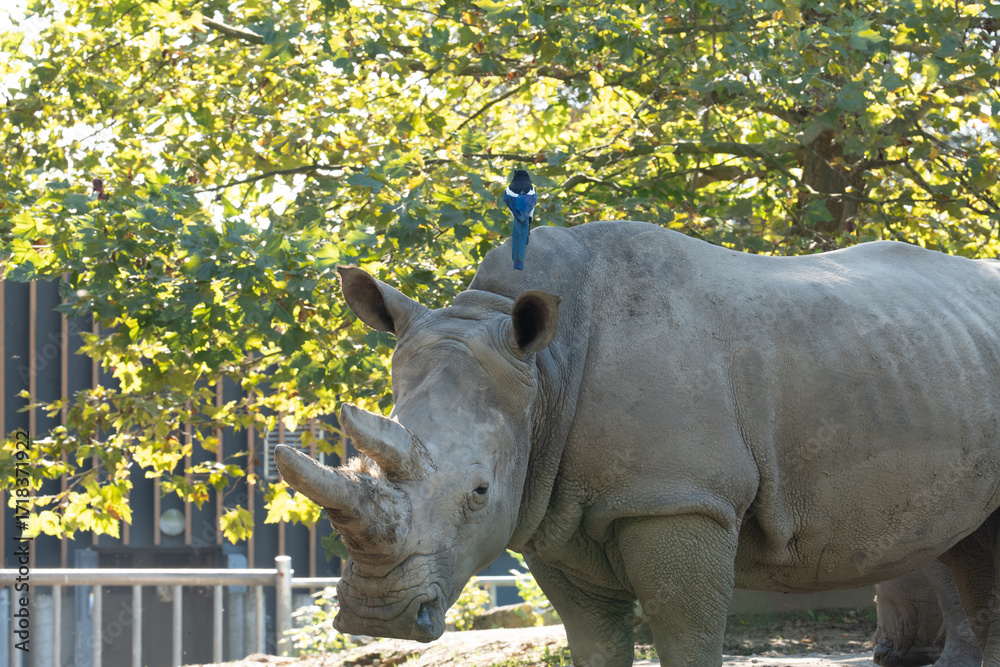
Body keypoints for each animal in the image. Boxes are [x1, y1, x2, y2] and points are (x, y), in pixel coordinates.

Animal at [276, 221, 1000, 667]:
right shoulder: (552, 511)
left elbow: (685, 631)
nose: (377, 616)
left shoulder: (678, 498)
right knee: (973, 551)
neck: (545, 370)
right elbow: (593, 638)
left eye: (479, 492)